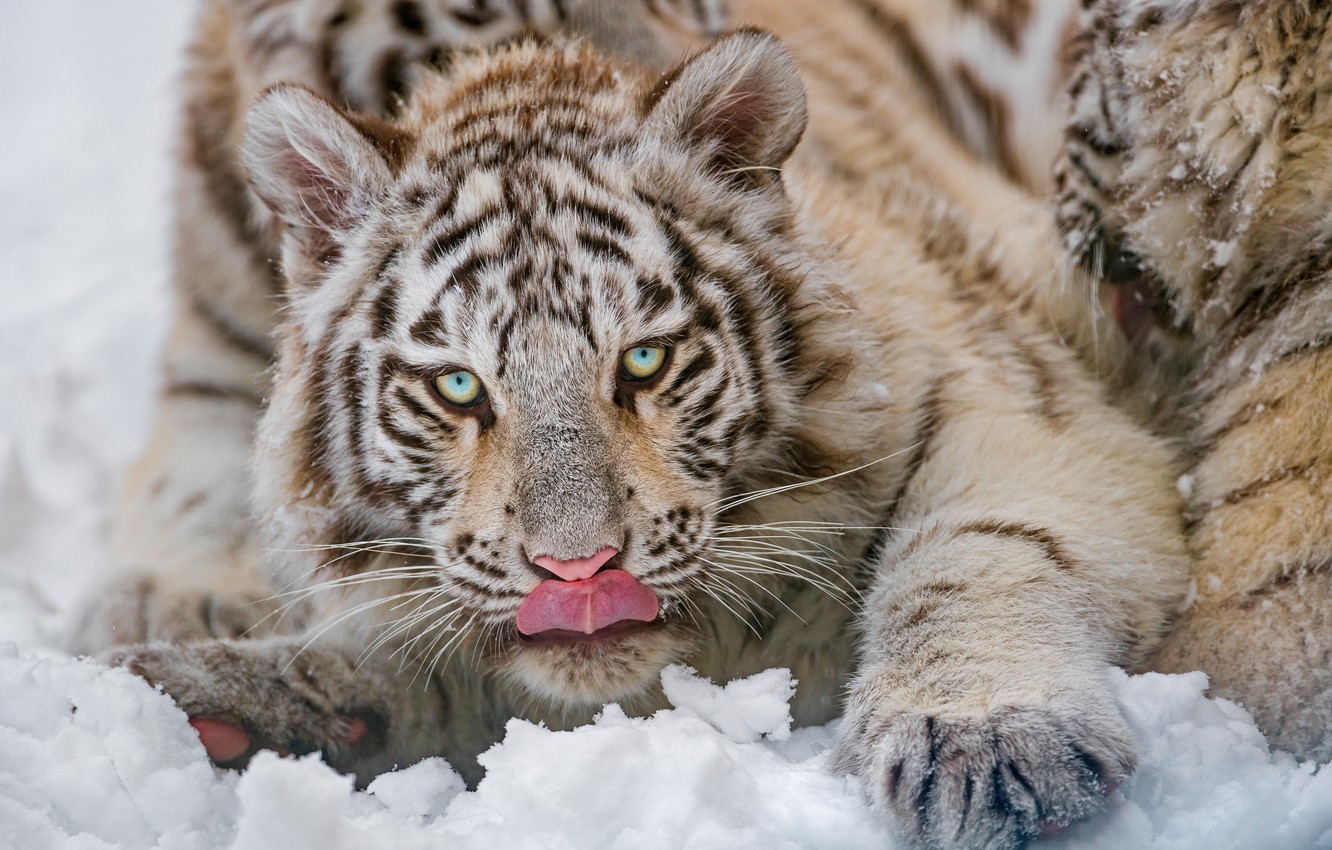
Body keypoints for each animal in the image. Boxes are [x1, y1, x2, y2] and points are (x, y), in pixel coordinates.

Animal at [76, 2, 1197, 848]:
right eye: (459, 387)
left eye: (645, 362)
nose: (578, 570)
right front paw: (202, 701)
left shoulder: (1014, 392)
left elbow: (975, 554)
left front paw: (989, 745)